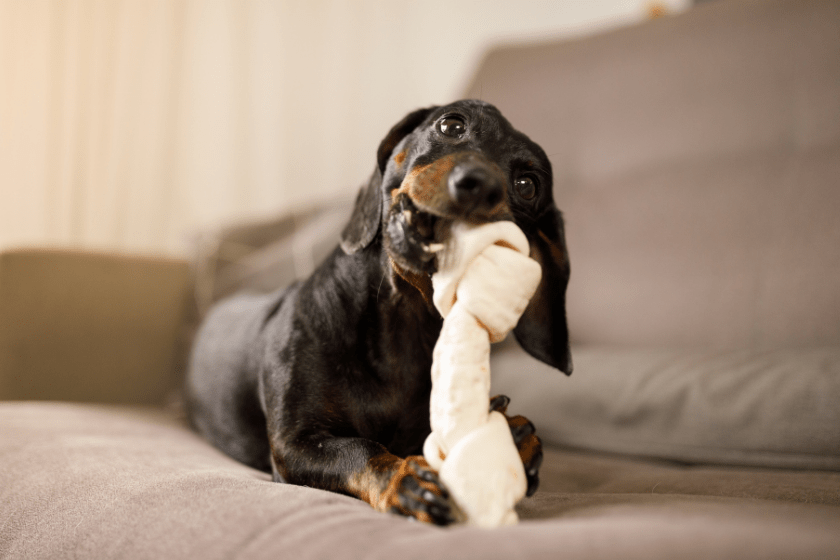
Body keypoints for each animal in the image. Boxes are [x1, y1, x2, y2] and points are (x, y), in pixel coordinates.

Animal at [185, 100, 572, 524]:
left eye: (528, 186)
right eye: (452, 124)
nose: (480, 184)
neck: (402, 325)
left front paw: (513, 435)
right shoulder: (295, 443)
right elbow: (361, 448)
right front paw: (404, 479)